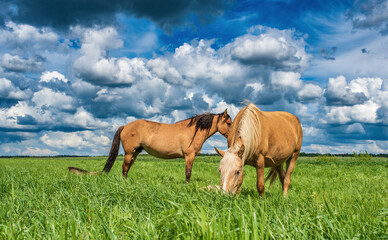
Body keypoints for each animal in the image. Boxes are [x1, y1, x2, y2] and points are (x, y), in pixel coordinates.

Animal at [68, 110, 232, 182]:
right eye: (229, 123)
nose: (233, 137)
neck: (193, 131)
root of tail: (125, 126)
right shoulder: (189, 156)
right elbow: (188, 173)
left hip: (135, 153)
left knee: (127, 167)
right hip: (129, 153)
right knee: (124, 167)